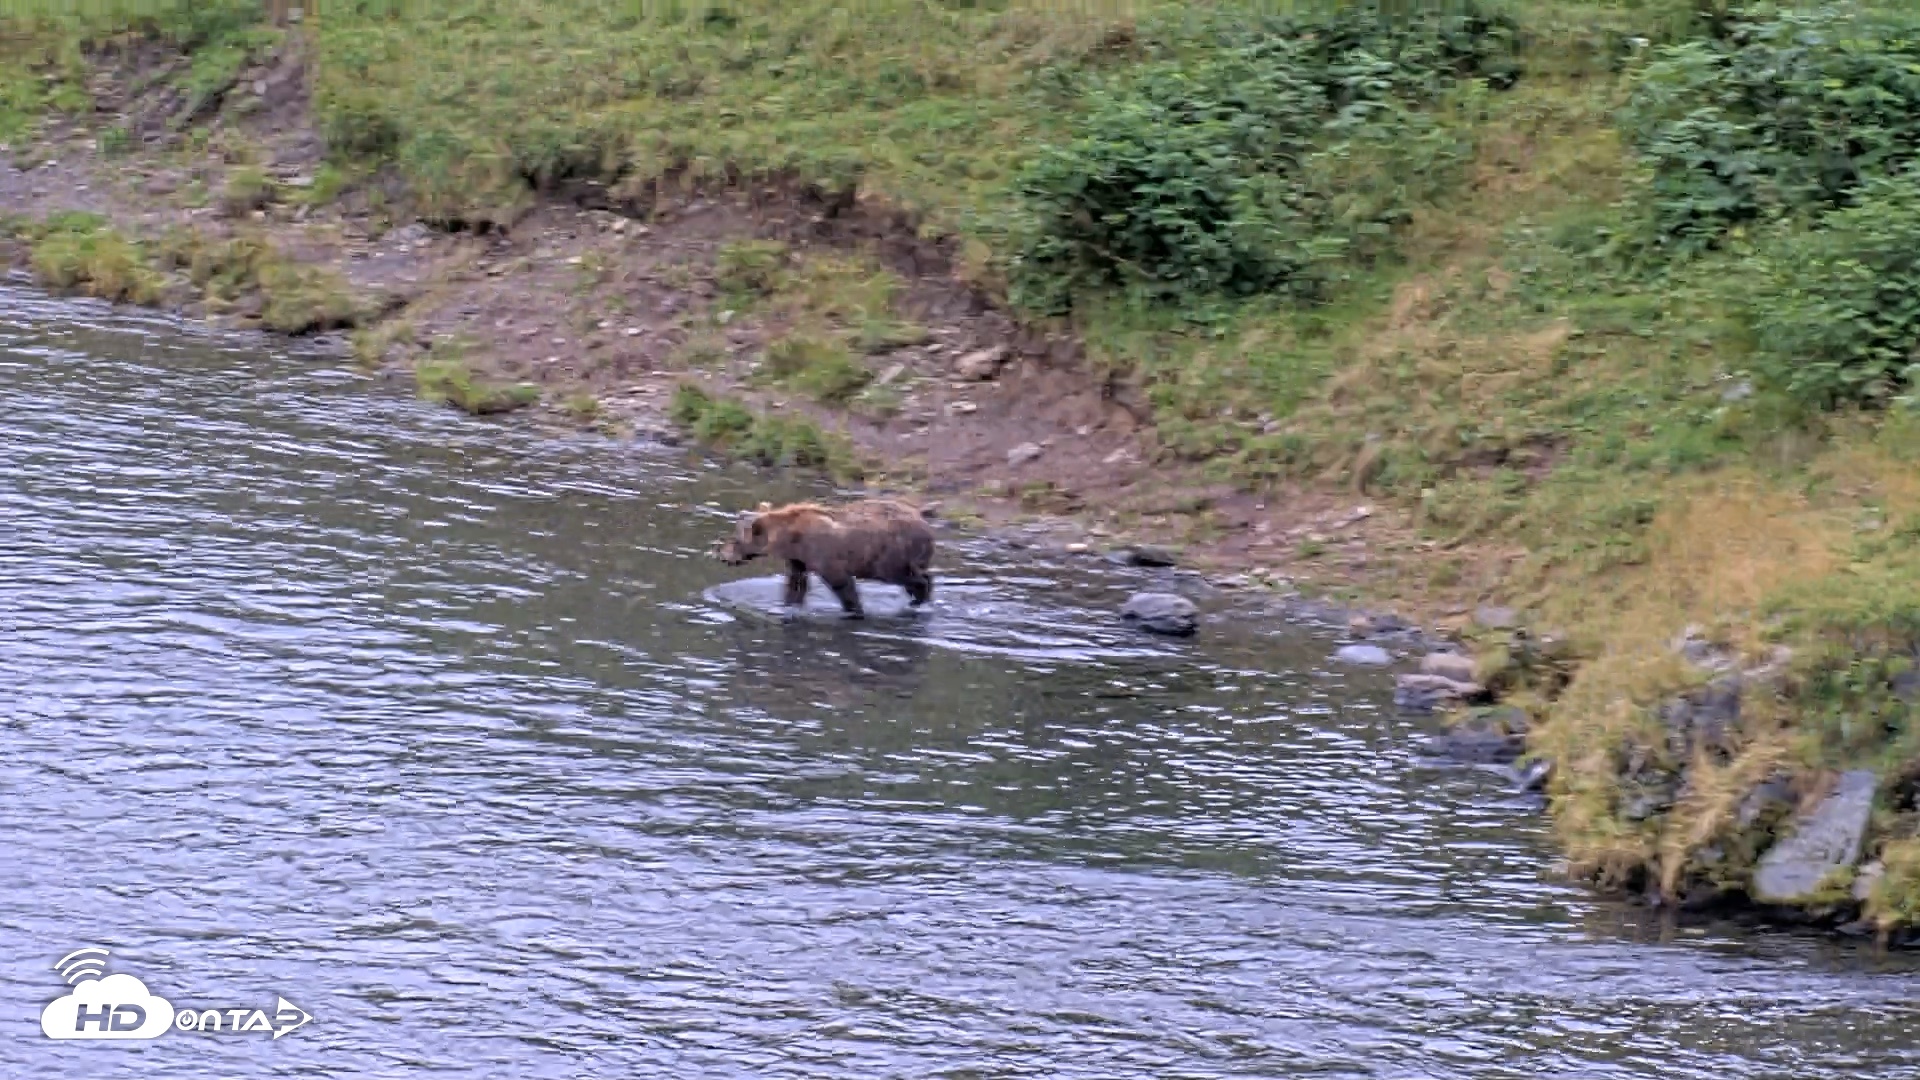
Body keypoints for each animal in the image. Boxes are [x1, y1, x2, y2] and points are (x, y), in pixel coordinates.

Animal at [715, 498, 935, 618]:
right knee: (921, 575)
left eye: (735, 539)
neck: (791, 538)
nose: (722, 554)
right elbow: (796, 584)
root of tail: (923, 521)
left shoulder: (824, 555)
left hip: (891, 553)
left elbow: (842, 584)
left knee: (903, 576)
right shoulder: (798, 559)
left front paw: (854, 610)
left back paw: (918, 599)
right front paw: (788, 605)